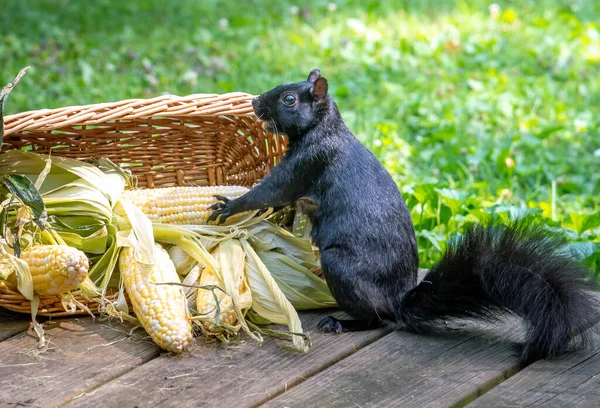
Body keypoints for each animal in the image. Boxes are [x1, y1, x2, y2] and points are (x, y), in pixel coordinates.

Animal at [209, 70, 596, 364]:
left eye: (289, 99)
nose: (256, 102)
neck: (324, 129)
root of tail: (399, 301)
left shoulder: (309, 162)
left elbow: (273, 190)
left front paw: (230, 205)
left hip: (341, 266)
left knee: (379, 319)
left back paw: (343, 322)